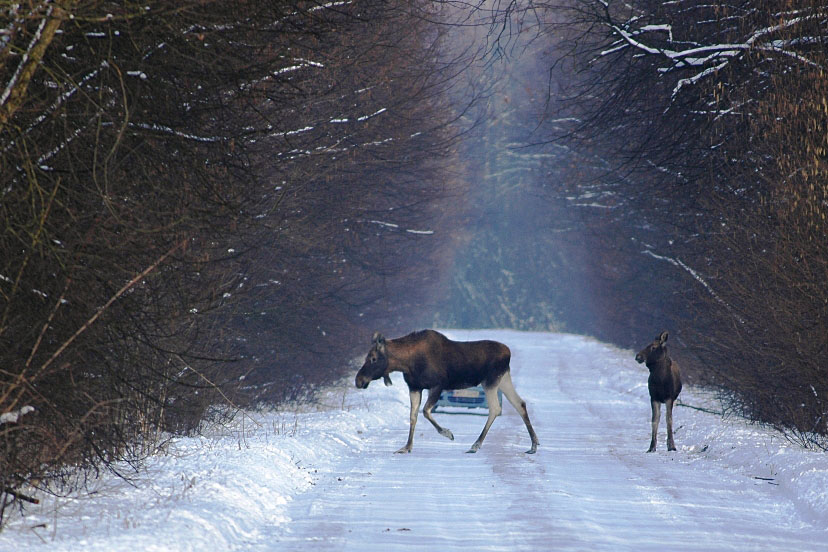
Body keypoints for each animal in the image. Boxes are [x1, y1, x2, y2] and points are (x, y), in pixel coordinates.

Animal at [354, 330, 536, 454]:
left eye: (373, 358)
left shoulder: (437, 385)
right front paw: (406, 447)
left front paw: (448, 433)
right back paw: (533, 445)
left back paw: (475, 445)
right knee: (519, 403)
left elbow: (426, 412)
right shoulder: (414, 387)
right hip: (503, 379)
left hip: (490, 381)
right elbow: (413, 416)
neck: (406, 363)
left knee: (495, 409)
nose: (359, 380)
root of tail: (508, 353)